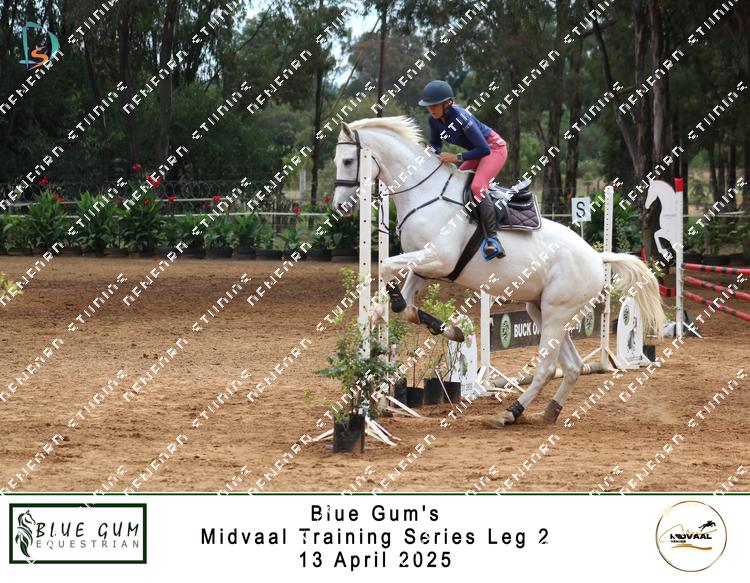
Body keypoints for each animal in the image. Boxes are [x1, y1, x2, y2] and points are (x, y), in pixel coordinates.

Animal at [332, 116, 664, 427]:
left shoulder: (439, 259)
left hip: (557, 313)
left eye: (348, 161)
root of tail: (597, 257)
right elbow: (408, 307)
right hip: (541, 310)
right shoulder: (424, 265)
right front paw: (449, 330)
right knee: (571, 366)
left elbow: (388, 268)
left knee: (547, 368)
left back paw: (509, 412)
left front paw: (392, 307)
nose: (339, 208)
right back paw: (549, 411)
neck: (424, 195)